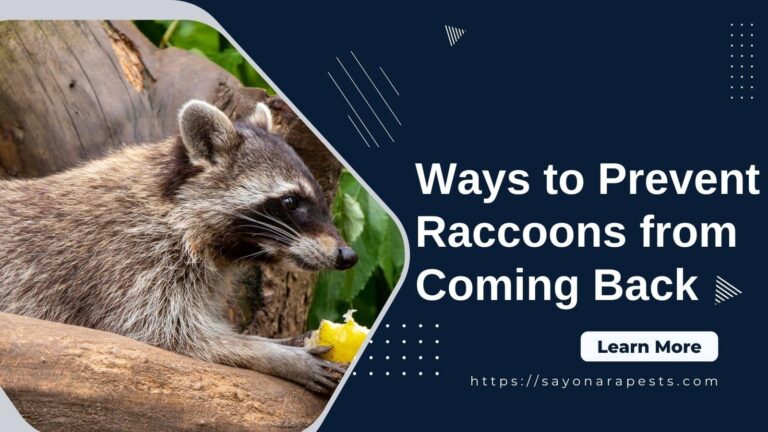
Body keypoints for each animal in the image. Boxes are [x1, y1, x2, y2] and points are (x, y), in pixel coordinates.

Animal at [0, 100, 358, 394]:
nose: (348, 255)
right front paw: (274, 354)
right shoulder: (126, 260)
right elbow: (168, 334)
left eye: (321, 198)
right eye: (291, 201)